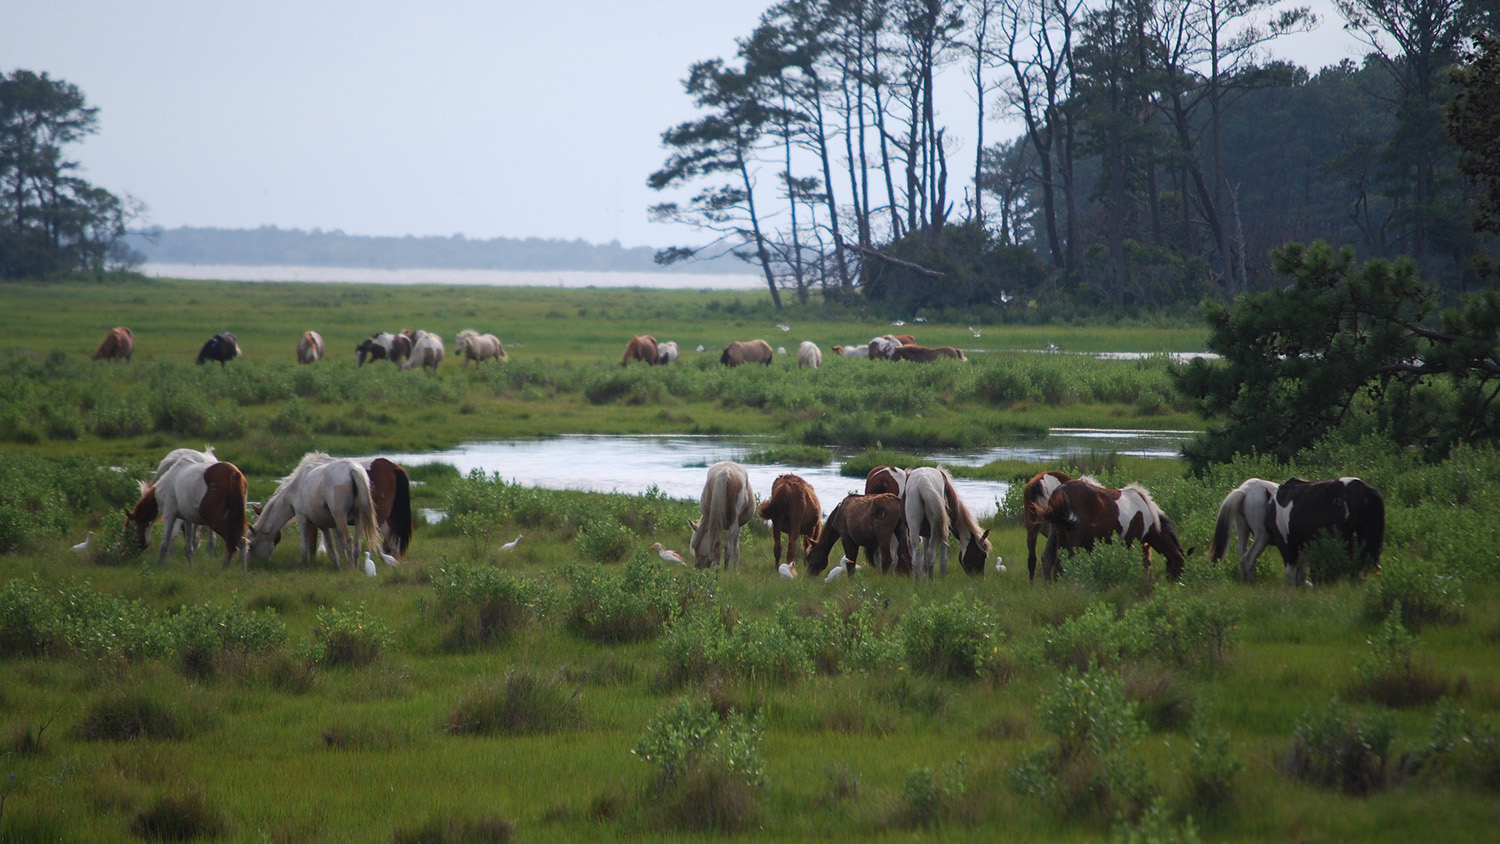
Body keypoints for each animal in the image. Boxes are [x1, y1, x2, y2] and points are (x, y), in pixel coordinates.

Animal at [246, 452, 380, 571]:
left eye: (252, 546)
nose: (254, 563)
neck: (295, 487)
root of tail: (352, 469)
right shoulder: (324, 524)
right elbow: (331, 548)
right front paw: (338, 566)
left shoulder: (302, 517)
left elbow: (304, 545)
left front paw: (304, 565)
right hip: (358, 516)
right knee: (357, 543)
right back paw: (356, 566)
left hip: (340, 516)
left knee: (348, 540)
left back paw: (351, 568)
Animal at [1038, 480, 1187, 582]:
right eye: (1181, 566)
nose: (1175, 584)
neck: (1148, 515)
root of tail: (1060, 489)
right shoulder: (1133, 541)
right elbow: (1139, 563)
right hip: (1073, 541)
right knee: (1067, 562)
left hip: (1056, 534)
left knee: (1048, 561)